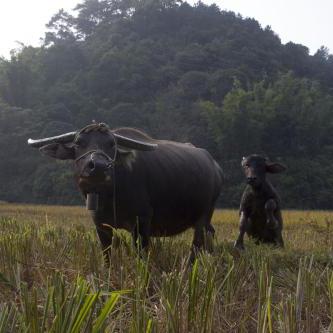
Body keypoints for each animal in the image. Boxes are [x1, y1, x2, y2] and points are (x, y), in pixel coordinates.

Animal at [27, 122, 220, 260]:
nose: (98, 166)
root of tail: (215, 166)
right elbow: (107, 256)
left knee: (197, 245)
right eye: (78, 143)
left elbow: (141, 256)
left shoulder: (142, 222)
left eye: (112, 144)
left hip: (203, 217)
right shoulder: (101, 225)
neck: (111, 195)